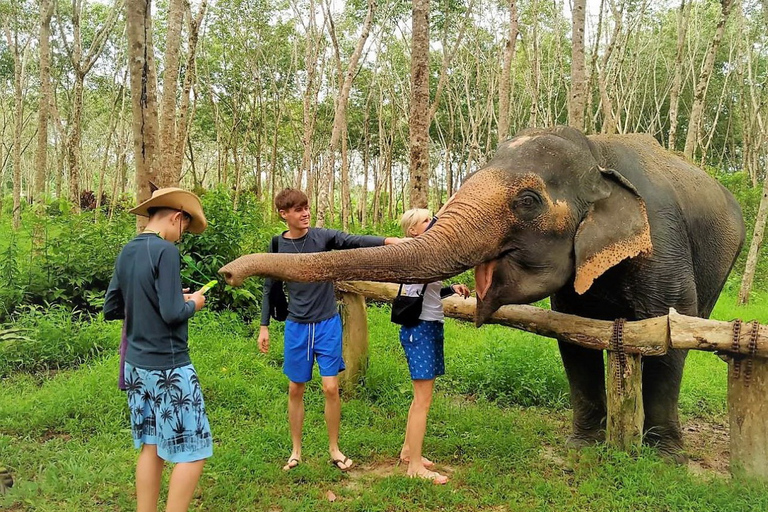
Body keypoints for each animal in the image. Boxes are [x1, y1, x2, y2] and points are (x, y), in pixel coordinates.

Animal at [220, 127, 744, 460]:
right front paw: (580, 446)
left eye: (528, 201)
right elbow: (573, 339)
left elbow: (668, 334)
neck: (597, 153)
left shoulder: (663, 241)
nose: (227, 273)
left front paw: (666, 458)